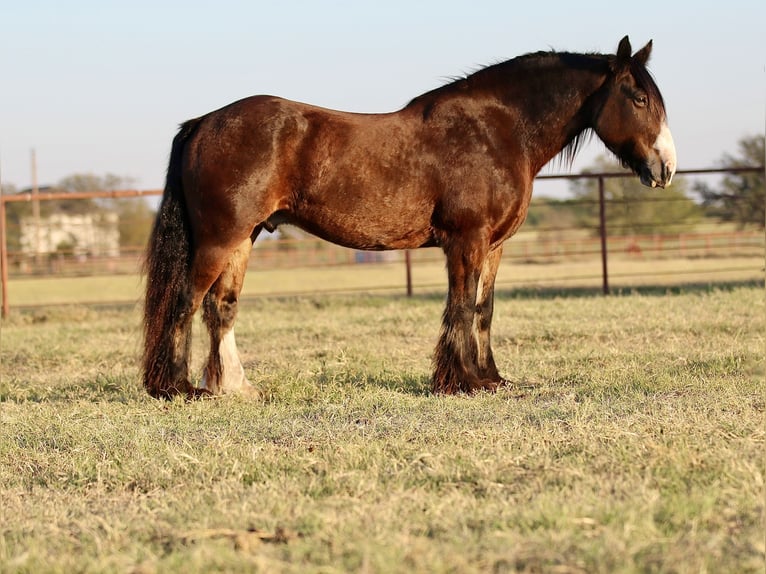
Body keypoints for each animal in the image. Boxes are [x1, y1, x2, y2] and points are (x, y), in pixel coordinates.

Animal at [142, 36, 680, 400]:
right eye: (638, 98)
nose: (666, 168)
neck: (498, 130)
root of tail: (202, 124)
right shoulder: (467, 240)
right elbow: (460, 307)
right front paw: (460, 381)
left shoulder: (494, 246)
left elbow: (483, 310)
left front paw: (491, 378)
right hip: (219, 238)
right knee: (186, 302)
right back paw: (177, 388)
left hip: (245, 236)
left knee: (221, 307)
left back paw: (234, 387)